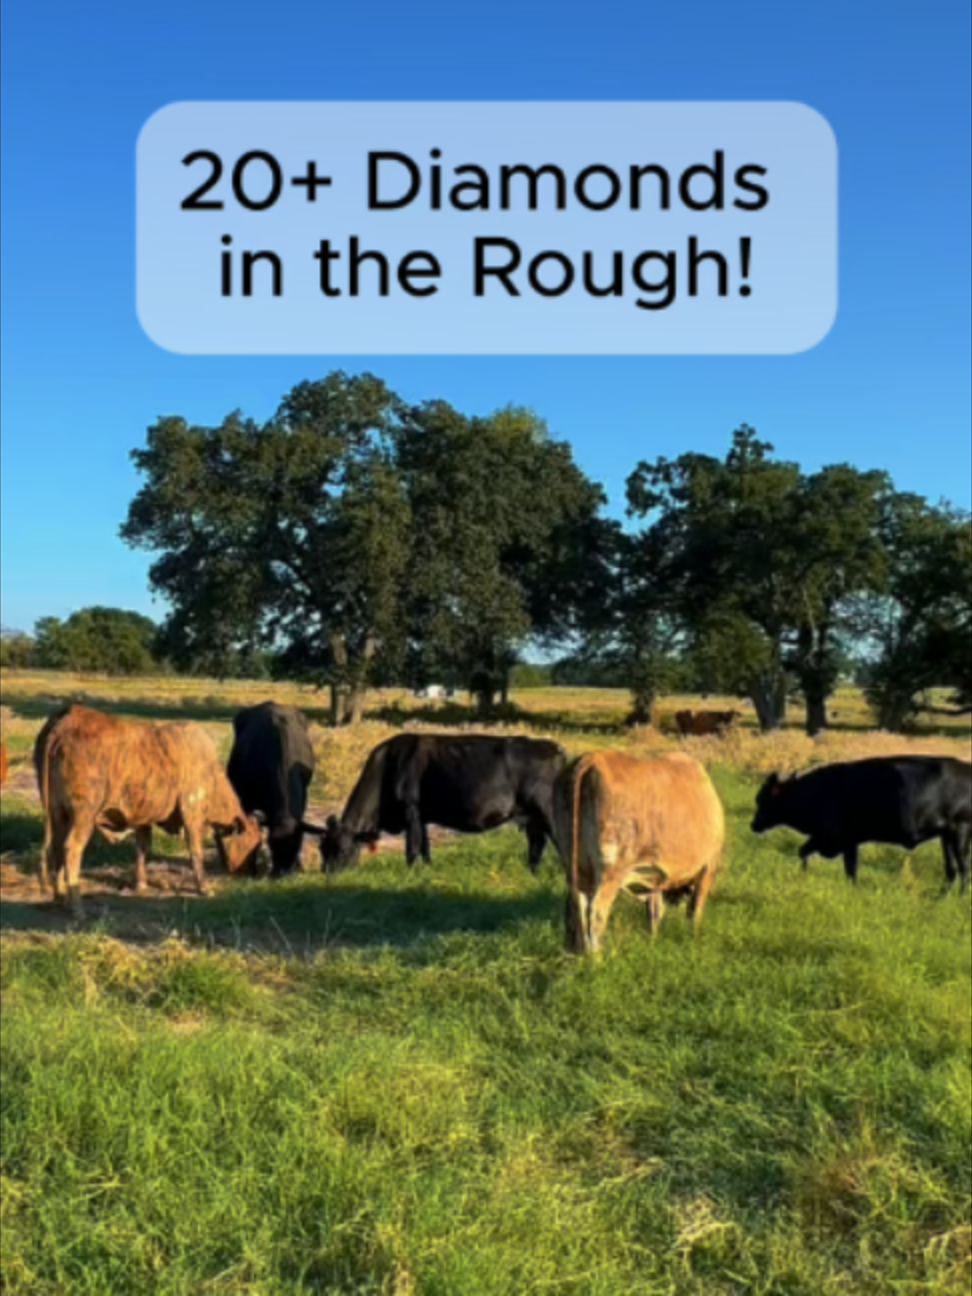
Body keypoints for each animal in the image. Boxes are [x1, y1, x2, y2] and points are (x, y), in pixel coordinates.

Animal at [33, 705, 263, 916]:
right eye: (251, 842)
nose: (251, 875)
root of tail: (69, 717)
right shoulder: (192, 815)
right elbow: (196, 853)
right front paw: (204, 888)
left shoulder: (143, 819)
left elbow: (142, 850)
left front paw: (141, 885)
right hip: (84, 815)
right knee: (71, 849)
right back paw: (76, 907)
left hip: (58, 814)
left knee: (57, 847)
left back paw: (59, 896)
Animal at [319, 733, 567, 872]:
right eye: (322, 849)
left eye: (342, 850)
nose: (327, 874)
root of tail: (552, 746)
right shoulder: (422, 817)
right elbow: (425, 847)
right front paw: (428, 872)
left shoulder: (411, 810)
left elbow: (412, 849)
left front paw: (410, 875)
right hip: (533, 817)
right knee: (537, 844)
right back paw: (532, 873)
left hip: (548, 810)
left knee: (559, 841)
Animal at [552, 750, 726, 955]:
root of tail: (590, 759)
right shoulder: (708, 868)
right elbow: (694, 911)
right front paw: (695, 938)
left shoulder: (654, 878)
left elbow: (655, 910)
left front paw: (652, 941)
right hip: (611, 869)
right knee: (596, 912)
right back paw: (598, 957)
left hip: (576, 866)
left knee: (578, 905)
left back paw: (580, 953)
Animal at [751, 757, 972, 890]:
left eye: (762, 800)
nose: (754, 824)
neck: (812, 791)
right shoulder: (844, 842)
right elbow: (813, 855)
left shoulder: (835, 839)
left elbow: (847, 868)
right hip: (947, 837)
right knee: (951, 870)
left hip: (959, 832)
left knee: (963, 869)